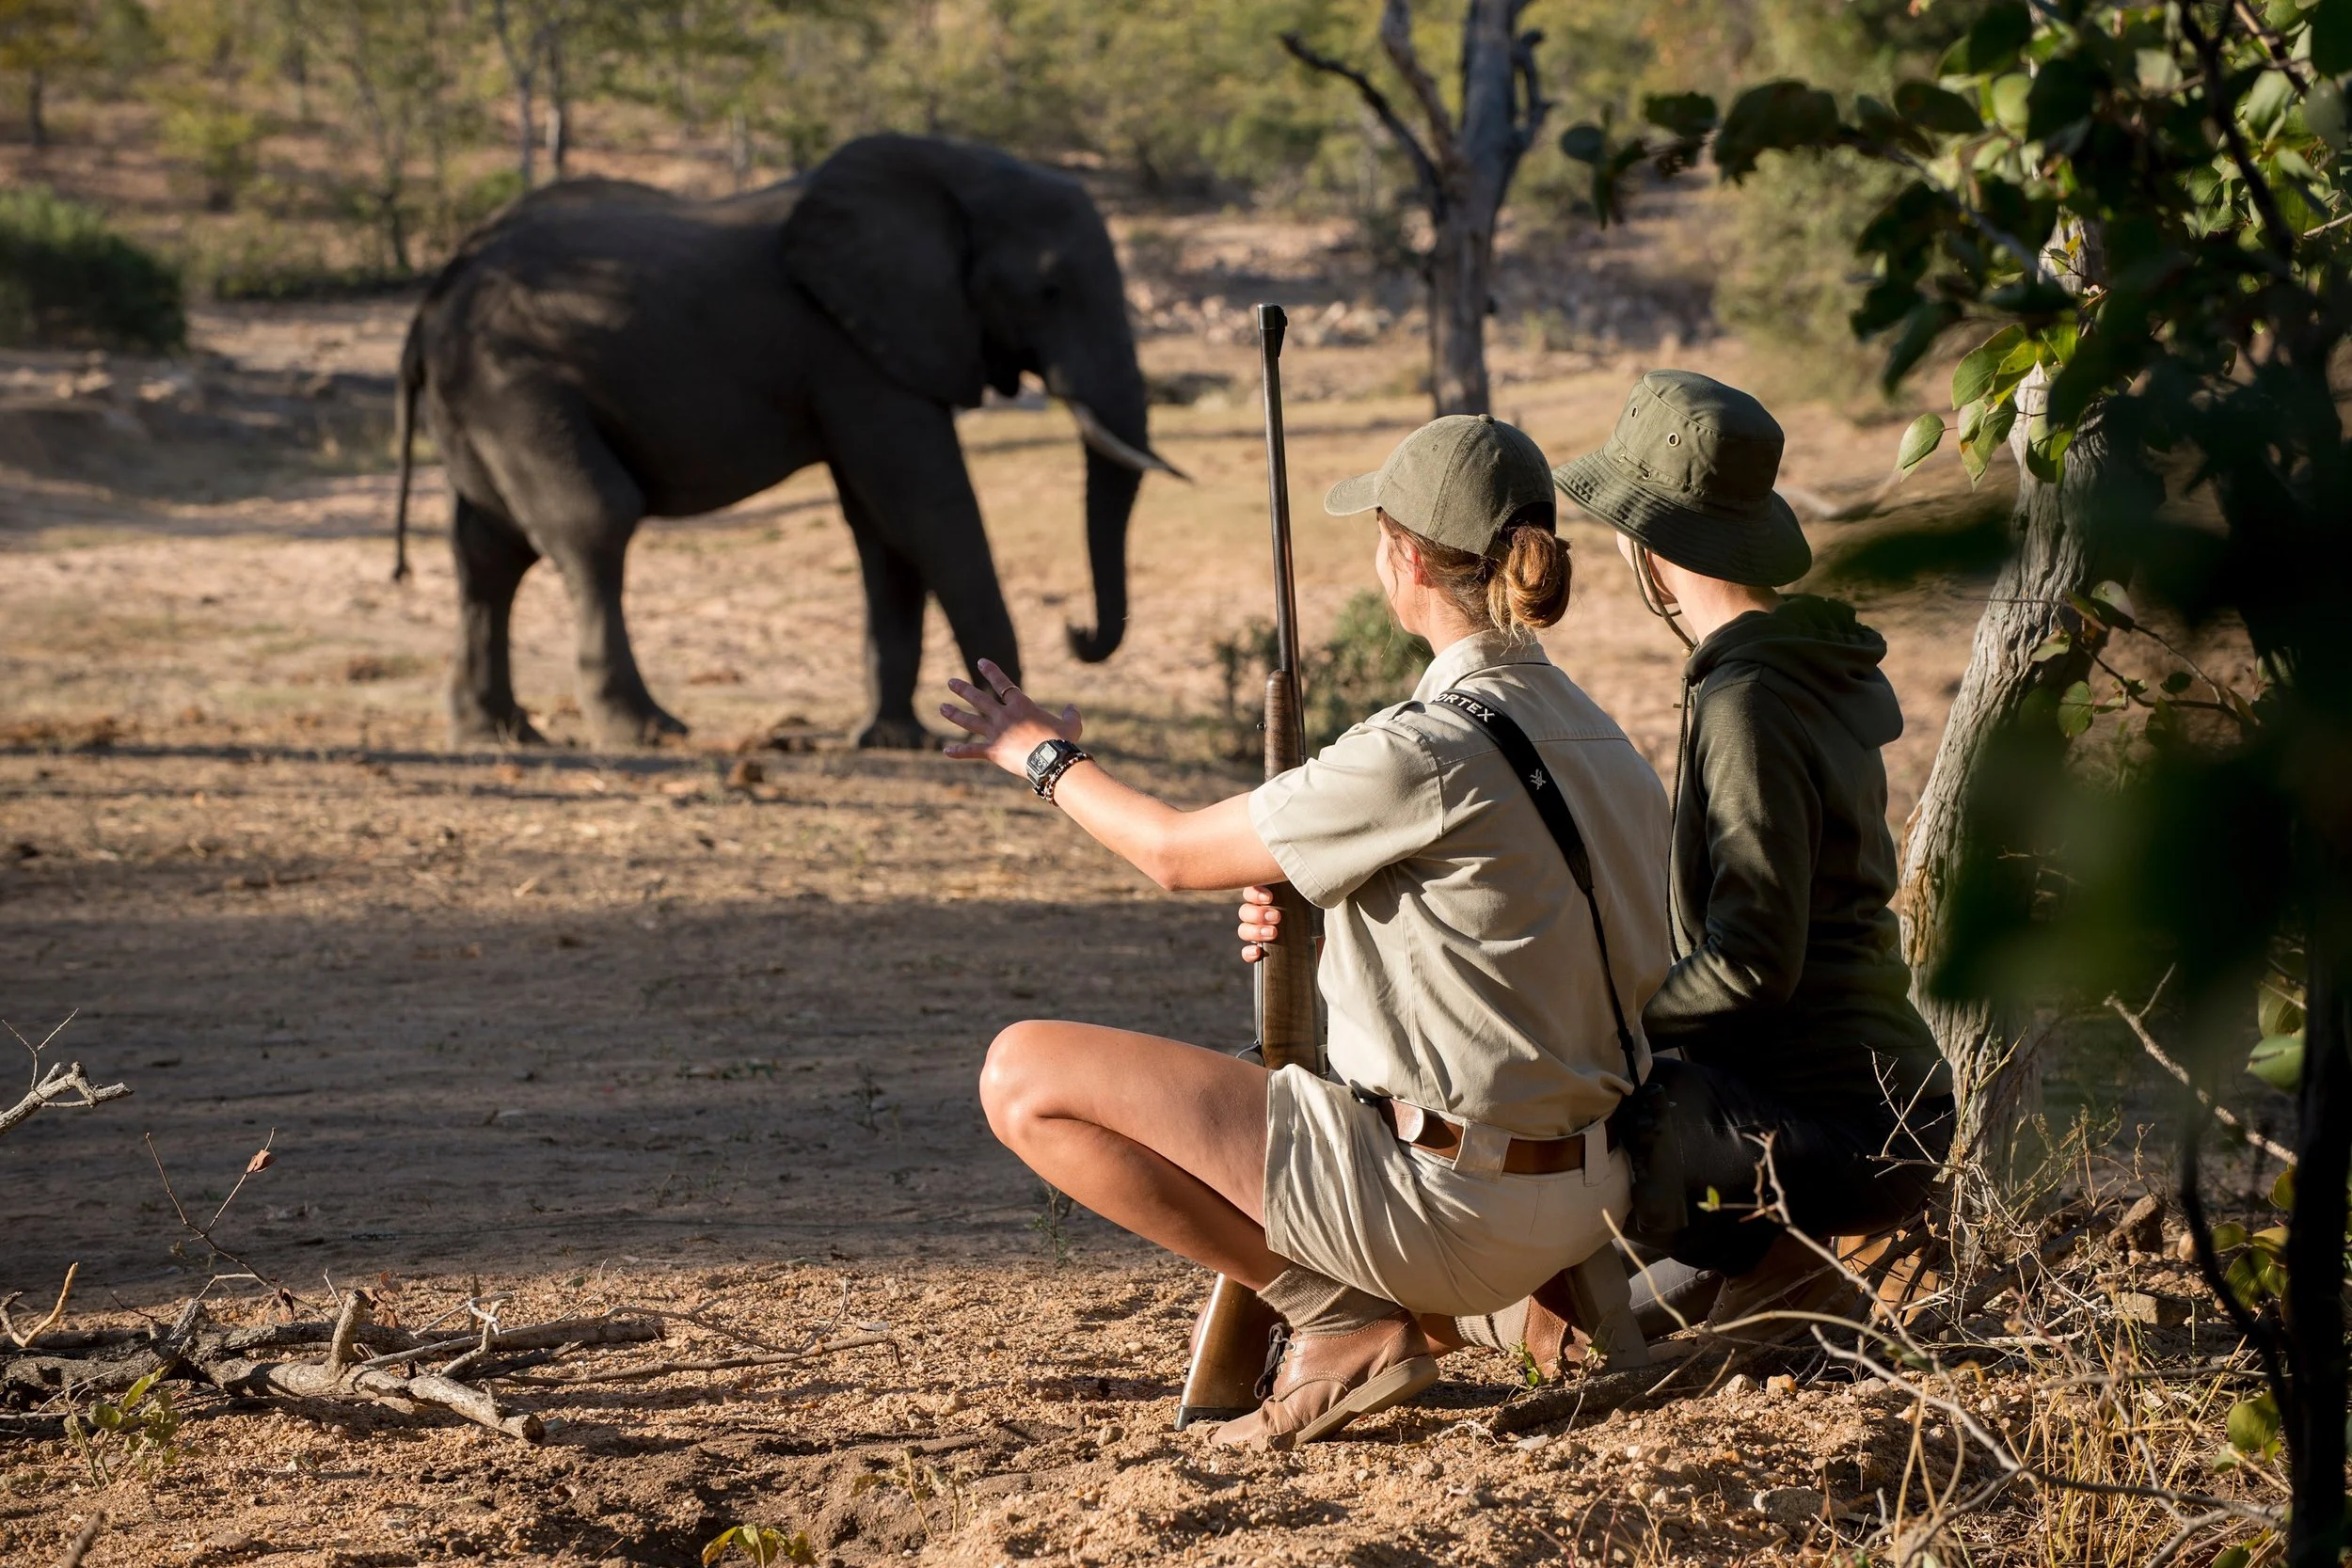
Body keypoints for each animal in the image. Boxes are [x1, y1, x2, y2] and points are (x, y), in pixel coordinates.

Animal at [390, 133, 1181, 750]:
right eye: (1050, 290)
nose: (1077, 627)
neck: (951, 170)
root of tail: (428, 303)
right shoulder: (853, 347)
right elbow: (925, 507)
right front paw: (999, 725)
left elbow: (881, 527)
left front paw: (892, 739)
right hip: (511, 381)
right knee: (594, 521)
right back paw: (645, 731)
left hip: (479, 401)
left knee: (488, 553)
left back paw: (496, 733)